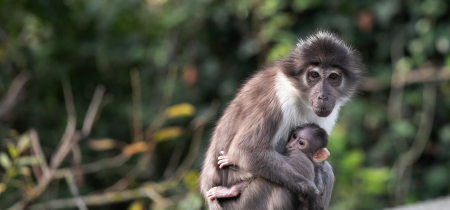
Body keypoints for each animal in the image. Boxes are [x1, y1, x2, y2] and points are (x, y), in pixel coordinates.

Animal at [199, 30, 364, 209]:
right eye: (314, 75)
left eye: (333, 77)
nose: (323, 96)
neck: (300, 97)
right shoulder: (278, 98)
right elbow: (245, 150)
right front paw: (311, 191)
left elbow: (319, 159)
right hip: (245, 204)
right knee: (282, 182)